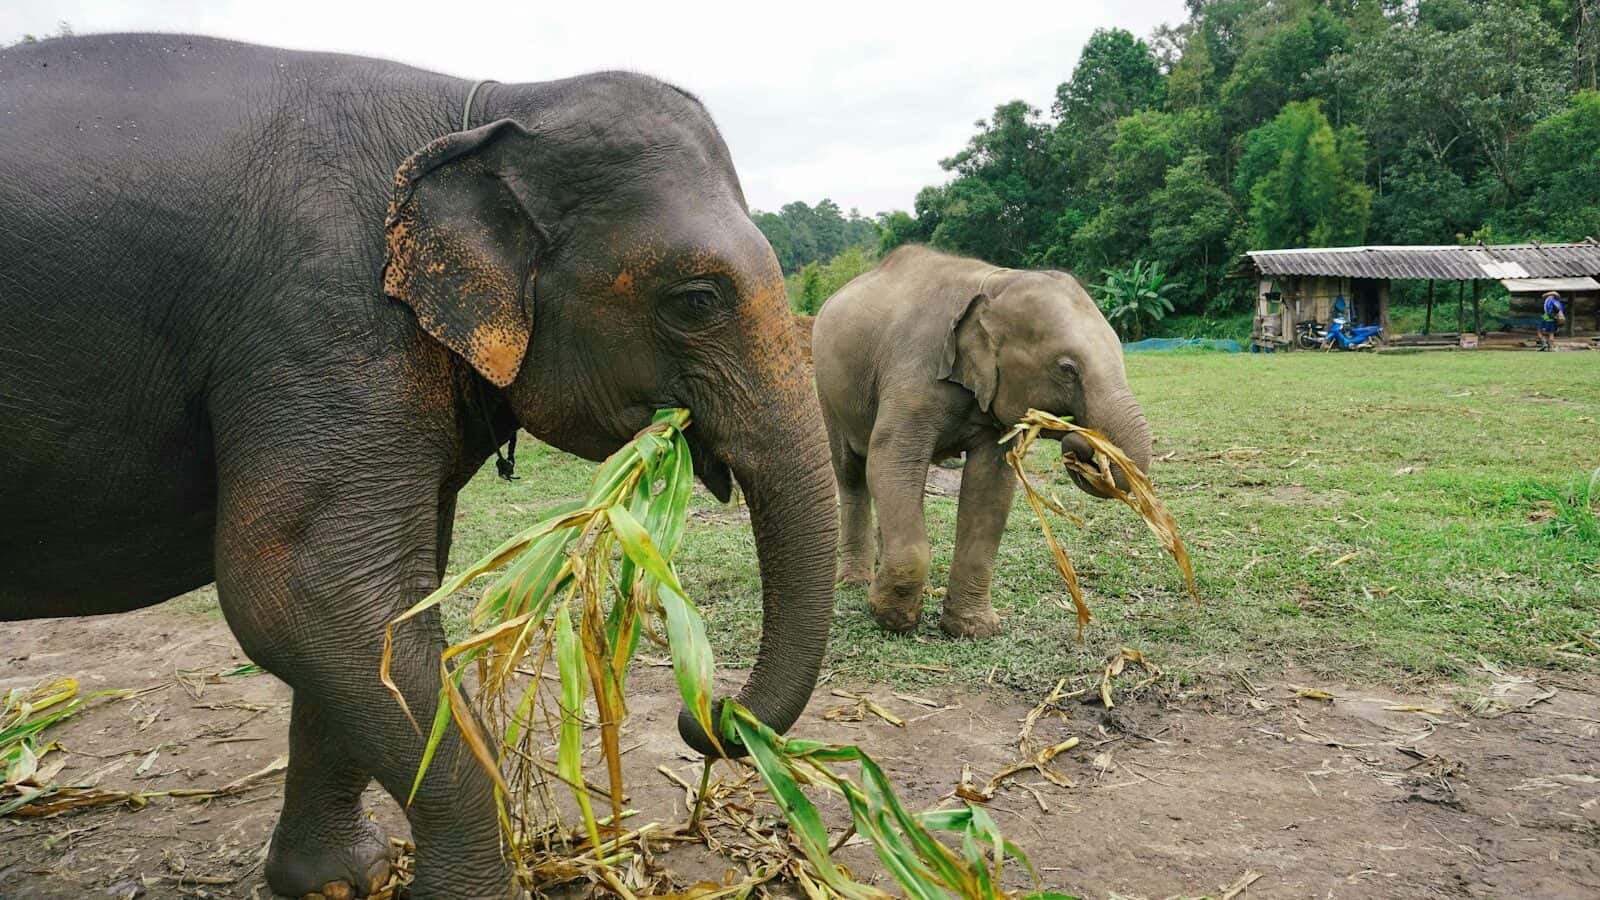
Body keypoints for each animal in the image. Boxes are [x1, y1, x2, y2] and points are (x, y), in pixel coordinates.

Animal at [0, 34, 836, 899]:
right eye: (697, 300)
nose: (706, 716)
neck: (489, 105)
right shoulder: (323, 317)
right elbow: (304, 592)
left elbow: (378, 608)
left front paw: (342, 880)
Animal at [811, 246, 1152, 638]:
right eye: (1067, 369)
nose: (1079, 444)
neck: (993, 282)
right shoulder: (912, 374)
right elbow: (891, 461)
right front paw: (893, 619)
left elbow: (989, 485)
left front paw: (973, 629)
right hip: (827, 391)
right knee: (852, 471)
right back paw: (854, 581)